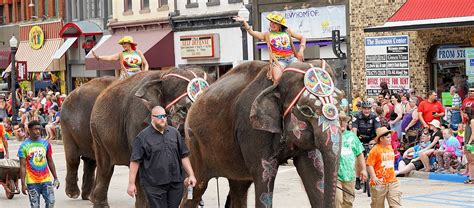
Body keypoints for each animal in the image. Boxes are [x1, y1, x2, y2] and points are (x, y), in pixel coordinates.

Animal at [89, 67, 215, 207]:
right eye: (182, 110)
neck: (162, 75)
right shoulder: (137, 119)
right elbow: (139, 164)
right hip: (97, 133)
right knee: (105, 167)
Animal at [182, 59, 344, 207]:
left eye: (341, 103)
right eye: (306, 110)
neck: (276, 83)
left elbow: (314, 172)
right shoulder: (252, 129)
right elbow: (265, 174)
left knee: (239, 186)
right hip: (194, 144)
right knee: (197, 187)